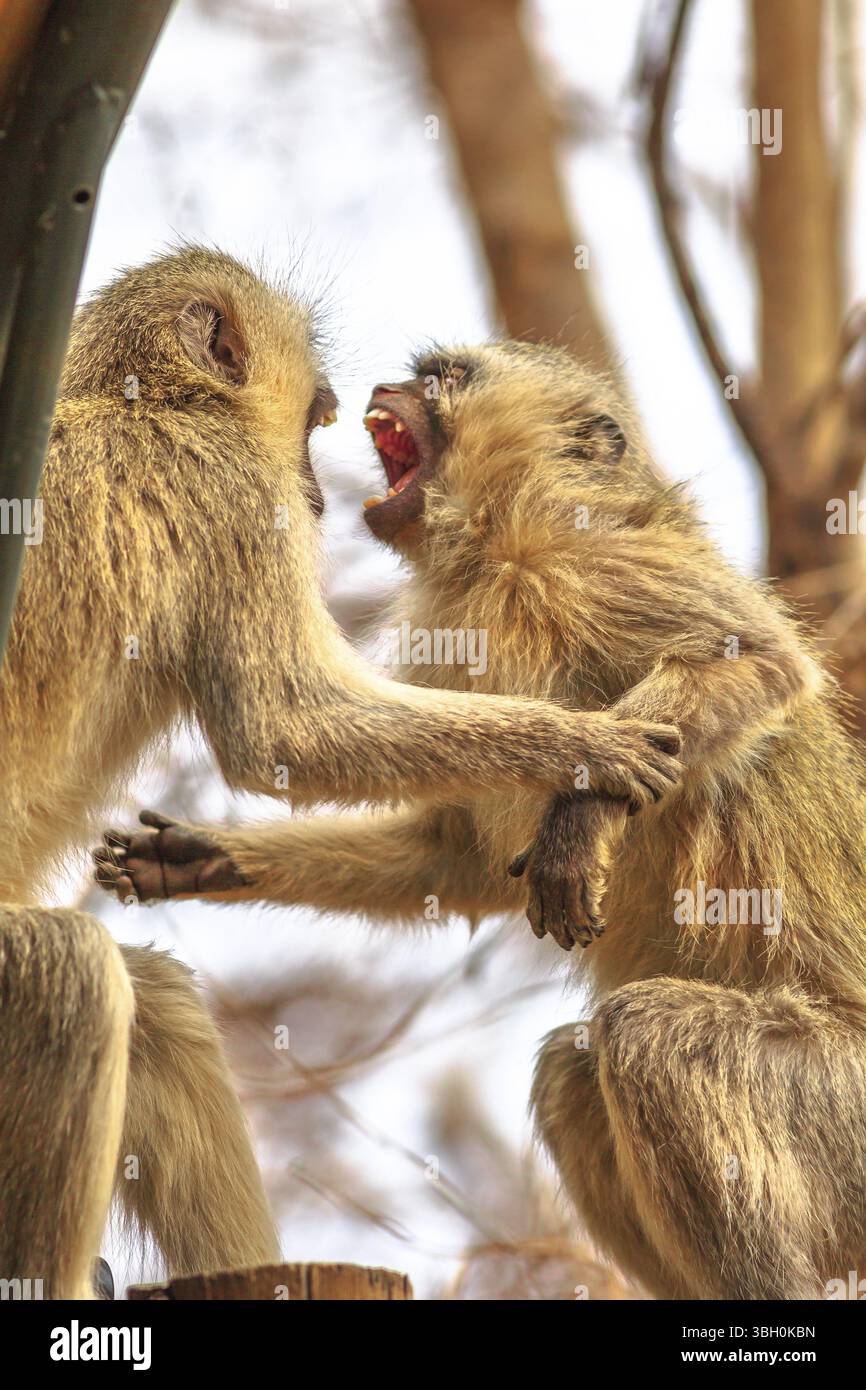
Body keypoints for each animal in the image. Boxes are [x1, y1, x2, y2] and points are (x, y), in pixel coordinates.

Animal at [1, 257, 681, 1299]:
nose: (325, 464)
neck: (140, 402)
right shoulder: (234, 492)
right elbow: (285, 727)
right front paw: (581, 743)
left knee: (145, 1002)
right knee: (68, 973)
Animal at [97, 339, 866, 1301]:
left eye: (446, 377)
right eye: (417, 372)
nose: (388, 387)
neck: (499, 546)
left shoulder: (604, 561)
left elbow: (756, 663)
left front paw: (582, 814)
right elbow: (454, 858)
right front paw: (204, 857)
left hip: (842, 1106)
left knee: (649, 1038)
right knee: (574, 1072)